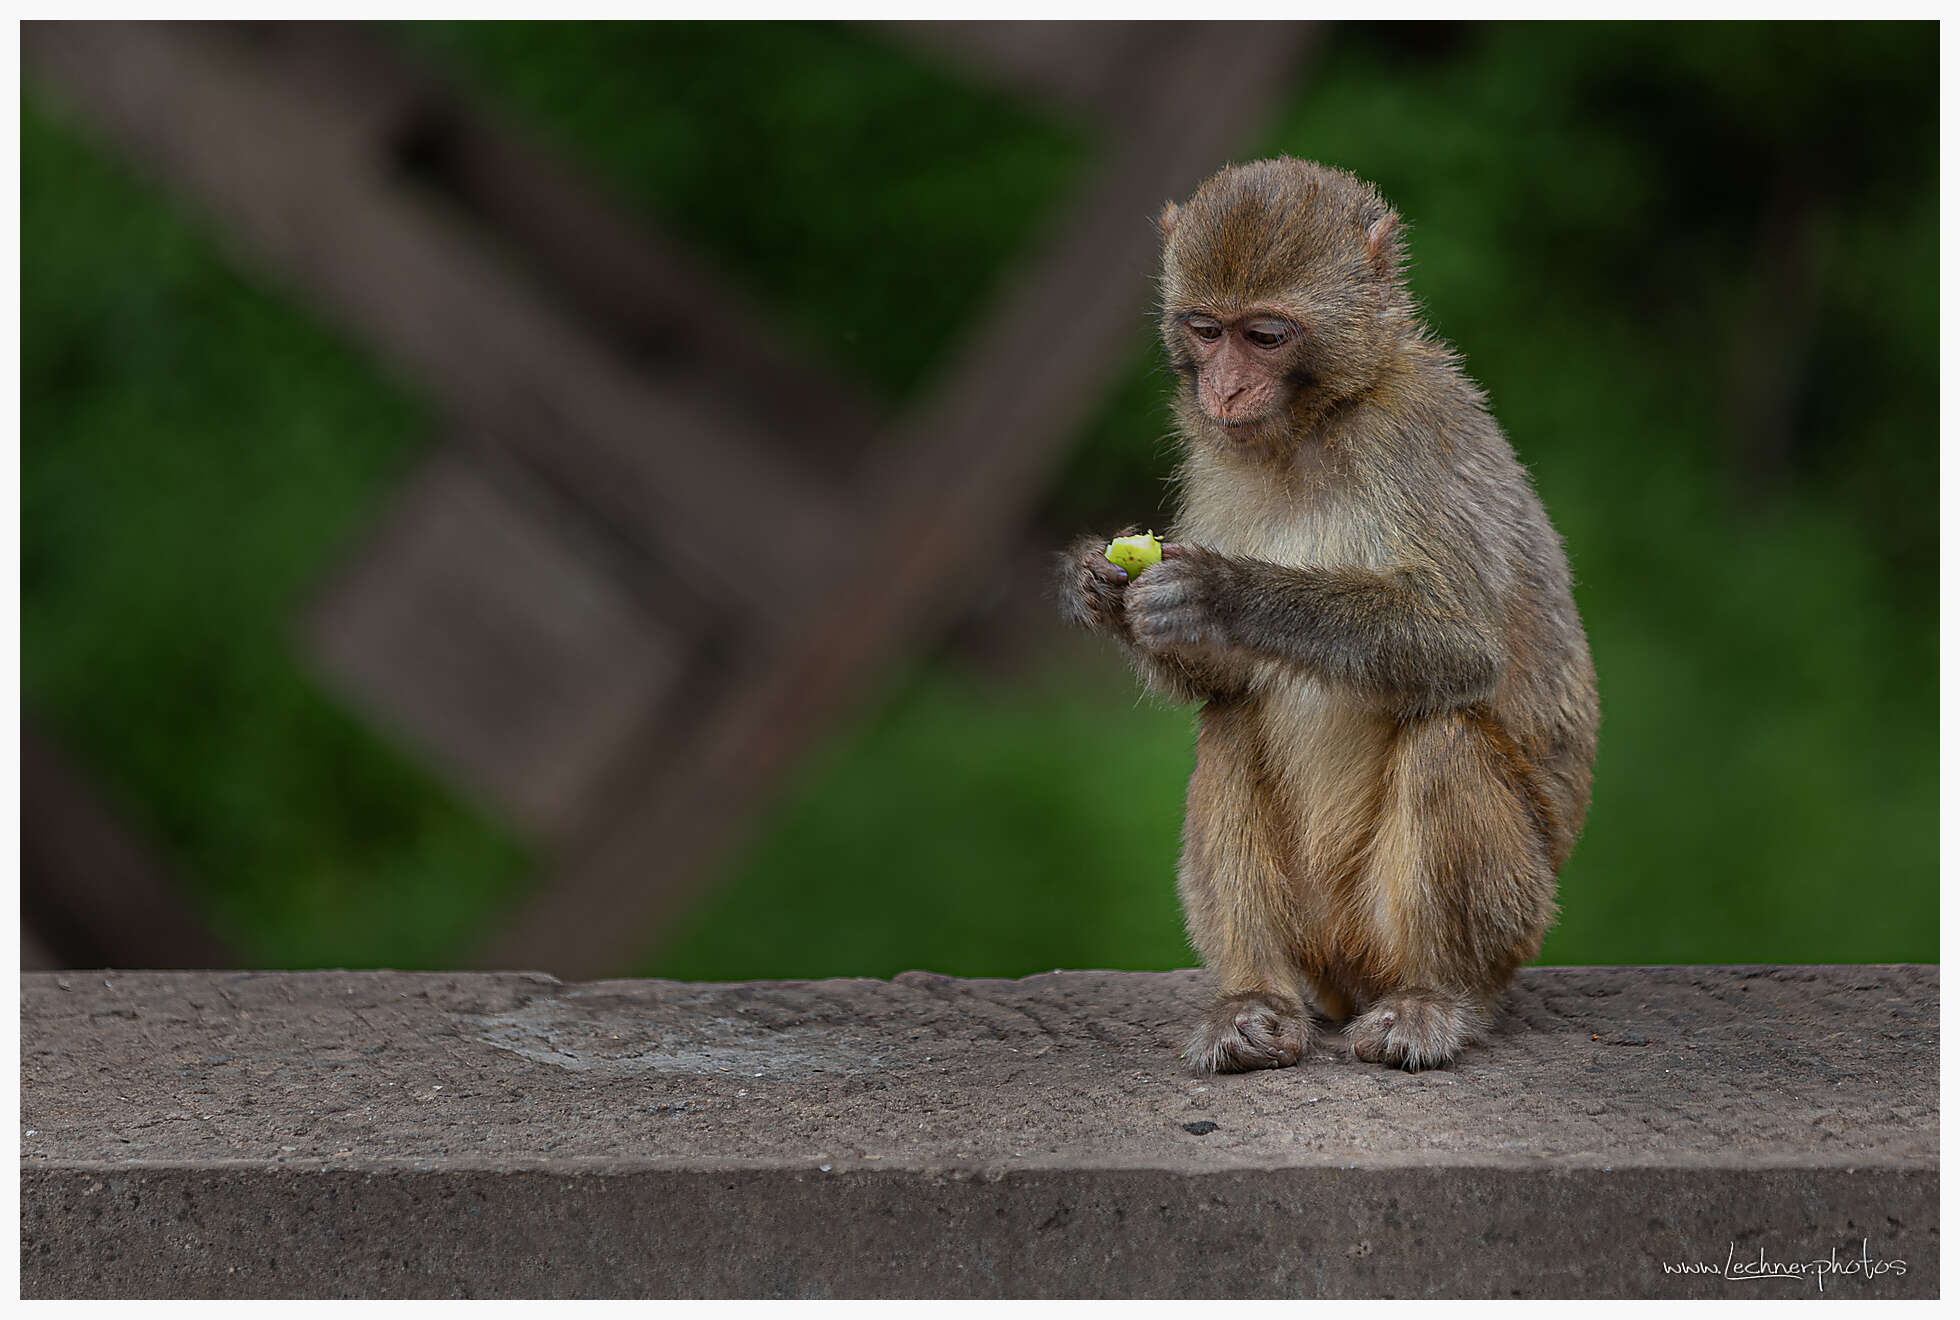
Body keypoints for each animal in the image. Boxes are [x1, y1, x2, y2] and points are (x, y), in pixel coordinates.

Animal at [1059, 157, 1598, 1072]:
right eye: (1207, 330)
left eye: (1265, 338)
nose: (1224, 387)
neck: (1313, 427)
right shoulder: (1213, 454)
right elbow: (1224, 677)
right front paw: (1103, 591)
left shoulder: (1413, 432)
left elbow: (1464, 648)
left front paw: (1225, 593)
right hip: (1322, 943)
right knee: (1229, 720)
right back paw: (1256, 1000)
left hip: (1515, 917)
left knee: (1443, 734)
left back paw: (1434, 997)